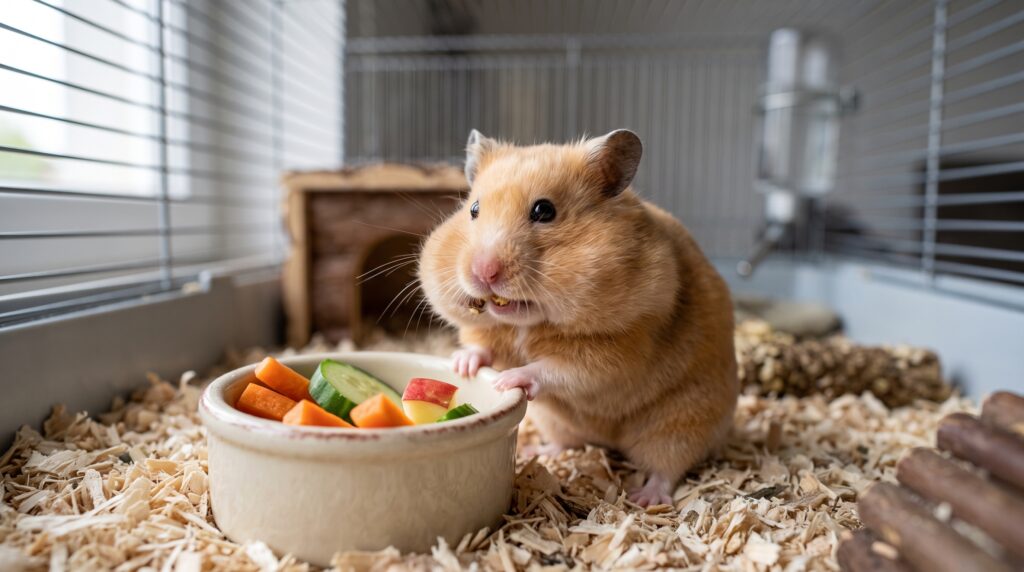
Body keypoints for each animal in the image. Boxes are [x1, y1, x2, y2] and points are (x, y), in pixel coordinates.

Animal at [418, 129, 738, 506]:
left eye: (544, 210)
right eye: (474, 209)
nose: (483, 272)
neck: (530, 322)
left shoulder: (621, 348)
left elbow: (559, 369)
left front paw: (505, 381)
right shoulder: (488, 330)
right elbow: (481, 346)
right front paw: (463, 365)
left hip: (682, 420)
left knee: (667, 466)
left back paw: (644, 498)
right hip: (555, 422)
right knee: (568, 442)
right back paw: (541, 452)